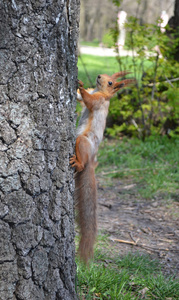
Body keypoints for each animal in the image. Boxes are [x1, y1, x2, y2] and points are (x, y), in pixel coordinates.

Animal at [70, 72, 136, 262]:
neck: (101, 92)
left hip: (83, 142)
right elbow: (80, 98)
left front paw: (81, 85)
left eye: (111, 82)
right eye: (107, 77)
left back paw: (78, 163)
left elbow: (89, 101)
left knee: (81, 161)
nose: (99, 76)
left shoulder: (98, 101)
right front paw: (79, 84)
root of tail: (92, 161)